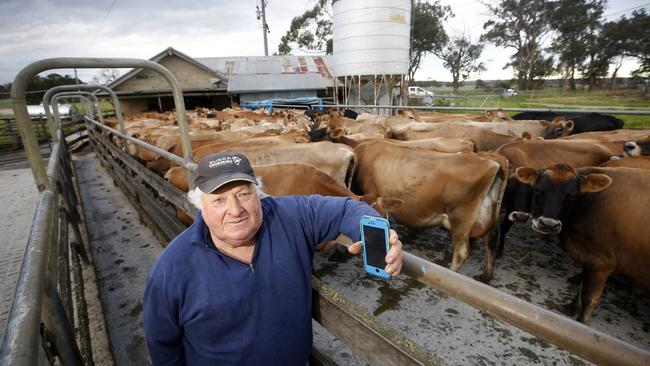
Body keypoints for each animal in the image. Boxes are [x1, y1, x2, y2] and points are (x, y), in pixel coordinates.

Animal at [512, 164, 648, 322]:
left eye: (573, 197)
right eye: (537, 190)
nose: (549, 224)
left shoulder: (601, 263)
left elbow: (589, 297)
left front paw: (581, 321)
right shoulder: (588, 258)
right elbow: (582, 287)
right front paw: (571, 307)